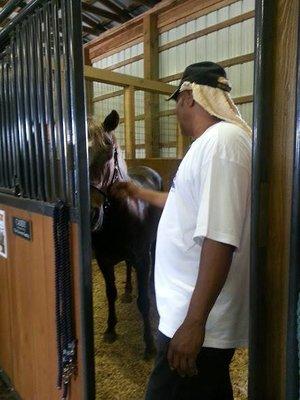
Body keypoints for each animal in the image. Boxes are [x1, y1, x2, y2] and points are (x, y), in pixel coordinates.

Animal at [88, 110, 163, 360]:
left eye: (109, 150)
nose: (91, 213)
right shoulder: (104, 260)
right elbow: (110, 293)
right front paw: (110, 329)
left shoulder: (141, 258)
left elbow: (144, 302)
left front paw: (149, 345)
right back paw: (128, 290)